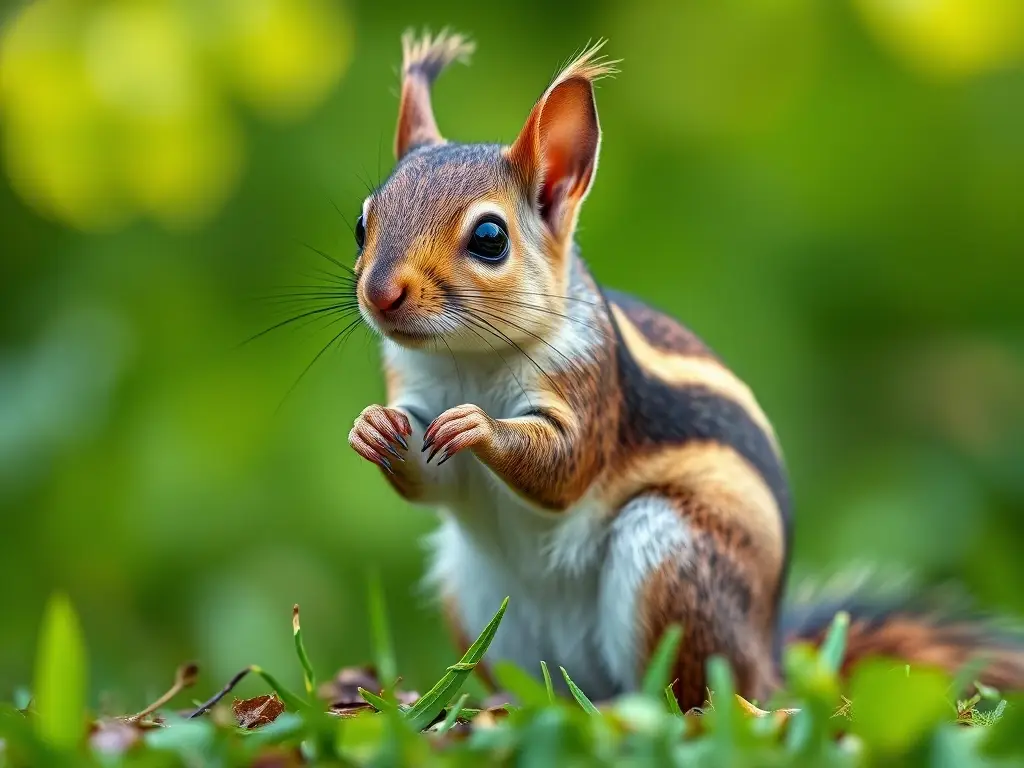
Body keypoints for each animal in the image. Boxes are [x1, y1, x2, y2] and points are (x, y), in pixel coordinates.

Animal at [345, 31, 1024, 709]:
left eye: (490, 238)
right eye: (361, 223)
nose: (380, 294)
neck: (469, 358)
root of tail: (767, 660)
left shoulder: (593, 384)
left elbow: (565, 465)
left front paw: (479, 427)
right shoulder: (415, 386)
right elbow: (435, 482)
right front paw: (373, 427)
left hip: (672, 557)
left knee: (693, 693)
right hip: (472, 586)